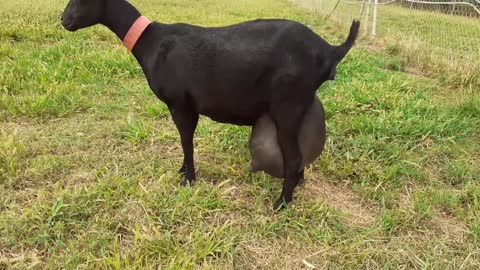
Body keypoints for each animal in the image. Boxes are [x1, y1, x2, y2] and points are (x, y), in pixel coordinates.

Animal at [61, 0, 360, 209]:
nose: (63, 19)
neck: (151, 42)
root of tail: (330, 50)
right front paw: (183, 171)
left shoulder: (180, 103)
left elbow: (186, 140)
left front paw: (188, 179)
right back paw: (295, 186)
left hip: (289, 105)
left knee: (294, 156)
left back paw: (281, 204)